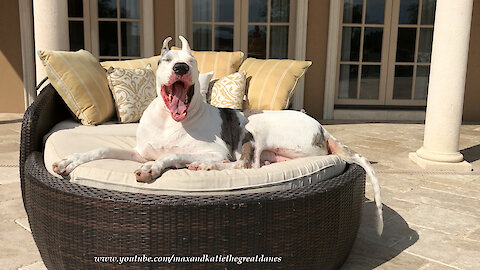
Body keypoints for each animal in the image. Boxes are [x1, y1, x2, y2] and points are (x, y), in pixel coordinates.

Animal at [51, 35, 382, 234]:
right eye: (164, 61)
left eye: (193, 62)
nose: (181, 67)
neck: (172, 121)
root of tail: (323, 129)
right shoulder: (138, 150)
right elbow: (101, 150)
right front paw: (69, 161)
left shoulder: (216, 149)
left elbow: (175, 154)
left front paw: (154, 168)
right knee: (254, 163)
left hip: (255, 126)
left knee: (247, 164)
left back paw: (203, 165)